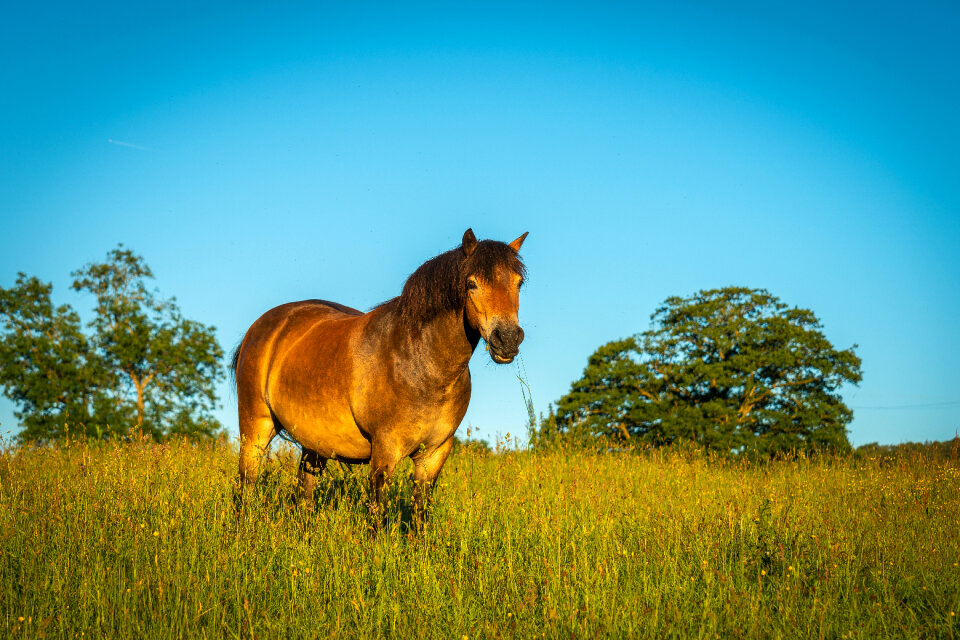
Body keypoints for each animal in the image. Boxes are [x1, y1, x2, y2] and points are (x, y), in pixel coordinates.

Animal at [234, 230, 532, 520]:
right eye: (471, 284)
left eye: (518, 283)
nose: (507, 338)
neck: (421, 364)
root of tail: (261, 327)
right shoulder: (384, 451)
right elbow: (377, 513)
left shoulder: (434, 454)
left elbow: (420, 514)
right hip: (256, 429)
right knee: (245, 485)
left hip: (314, 444)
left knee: (305, 494)